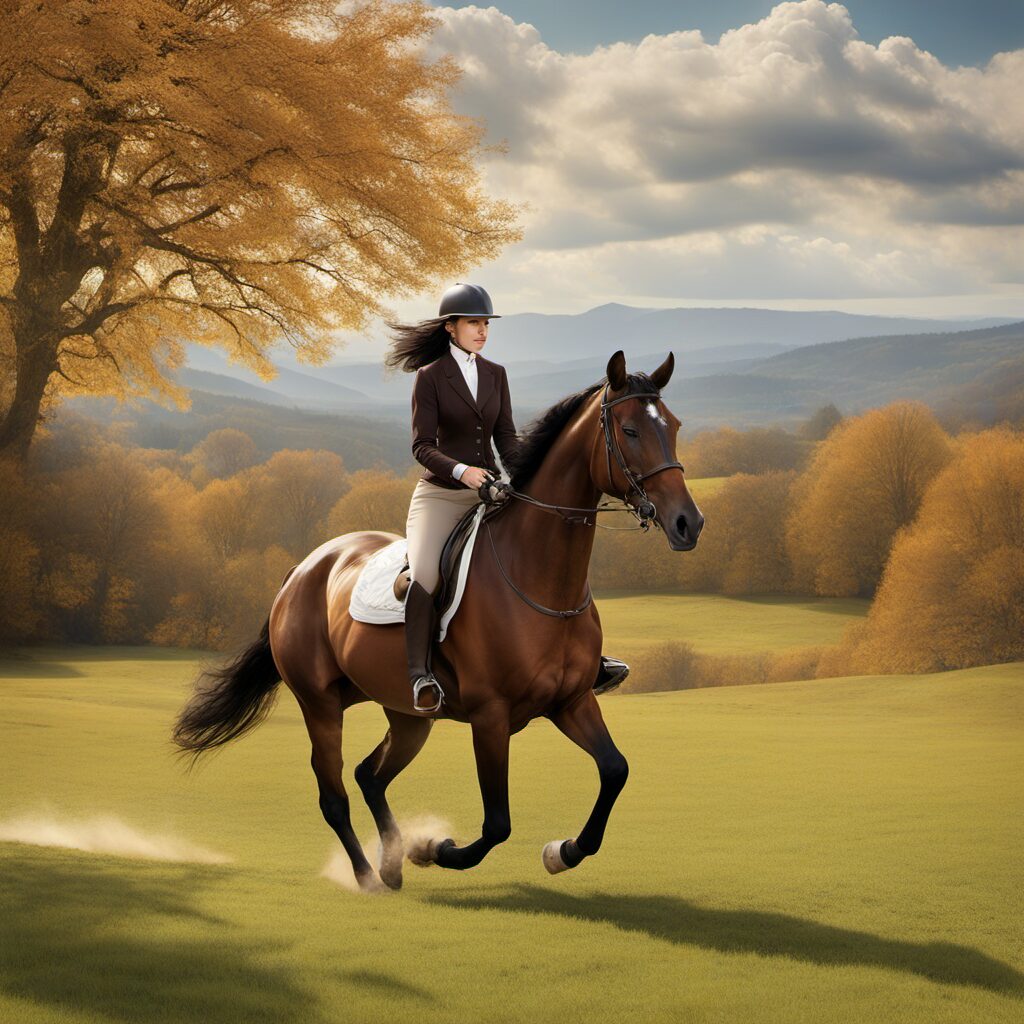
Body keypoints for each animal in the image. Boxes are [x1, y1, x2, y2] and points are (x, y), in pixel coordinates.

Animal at [173, 350, 704, 891]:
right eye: (630, 430)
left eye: (675, 425)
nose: (689, 523)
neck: (539, 578)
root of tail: (302, 569)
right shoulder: (491, 716)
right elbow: (497, 824)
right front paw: (435, 849)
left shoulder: (572, 701)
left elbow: (615, 770)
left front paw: (562, 851)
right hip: (319, 705)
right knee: (334, 794)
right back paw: (369, 877)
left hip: (407, 715)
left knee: (369, 775)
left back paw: (391, 863)